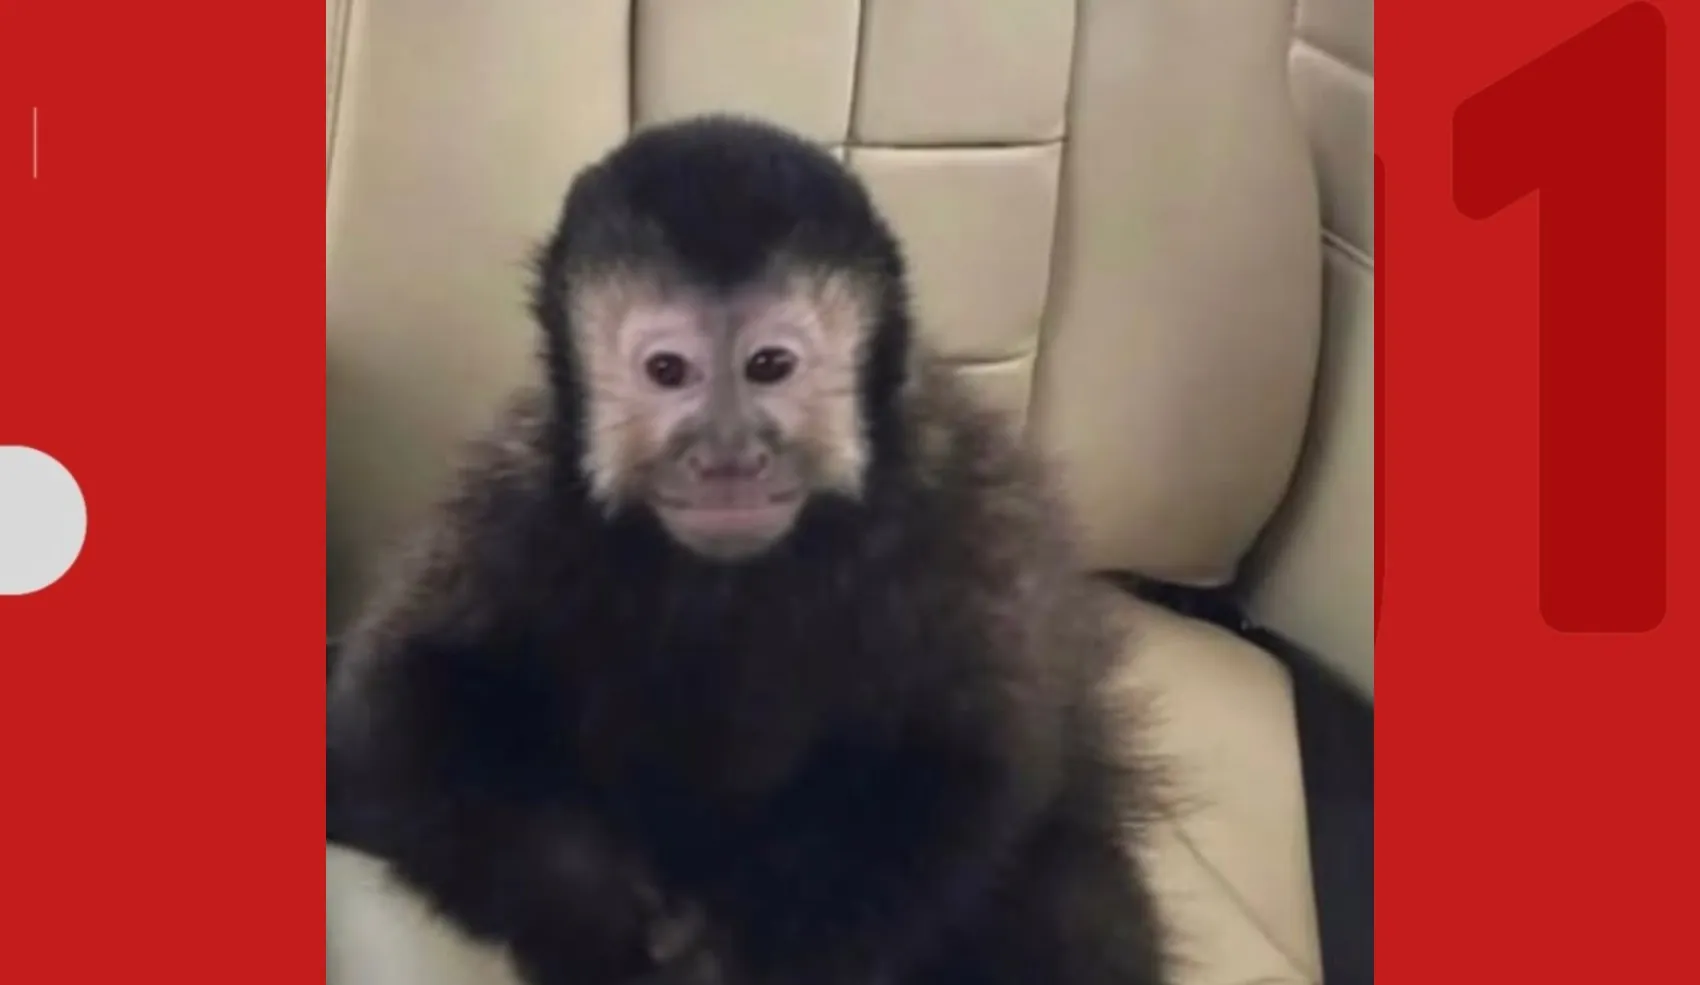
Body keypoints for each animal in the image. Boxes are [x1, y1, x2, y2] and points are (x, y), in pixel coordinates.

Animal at [326, 114, 1173, 985]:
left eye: (769, 365)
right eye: (668, 371)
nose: (727, 456)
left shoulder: (963, 509)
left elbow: (968, 761)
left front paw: (746, 949)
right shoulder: (514, 500)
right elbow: (397, 701)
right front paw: (605, 918)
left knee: (1073, 912)